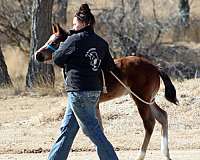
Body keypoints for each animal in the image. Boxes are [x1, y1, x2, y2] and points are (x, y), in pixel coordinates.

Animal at [34, 24, 178, 160]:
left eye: (54, 42)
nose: (37, 55)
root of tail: (155, 67)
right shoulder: (94, 105)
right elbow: (98, 128)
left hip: (140, 99)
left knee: (150, 123)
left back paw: (140, 156)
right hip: (148, 99)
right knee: (163, 116)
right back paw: (166, 154)